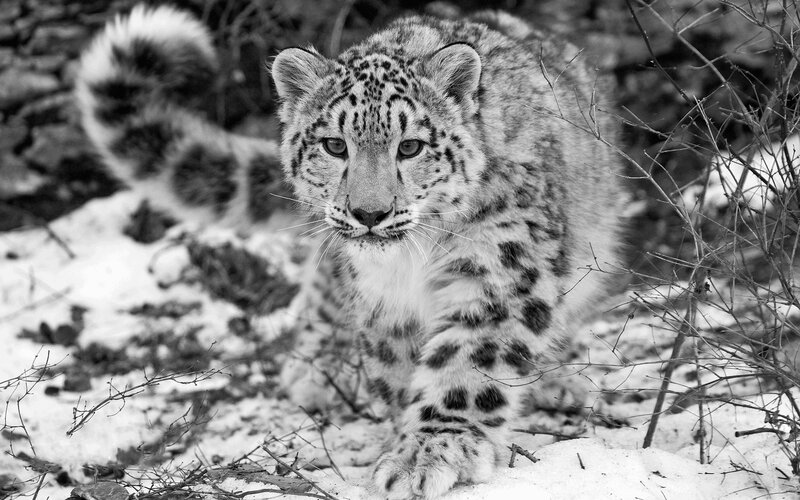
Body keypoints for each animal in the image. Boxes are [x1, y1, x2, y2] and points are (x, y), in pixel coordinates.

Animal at [76, 4, 623, 498]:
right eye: (335, 146)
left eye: (411, 146)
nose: (369, 213)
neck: (411, 263)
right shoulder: (382, 300)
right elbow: (397, 370)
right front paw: (404, 440)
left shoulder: (498, 268)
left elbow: (468, 361)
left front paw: (432, 451)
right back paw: (317, 369)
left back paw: (557, 382)